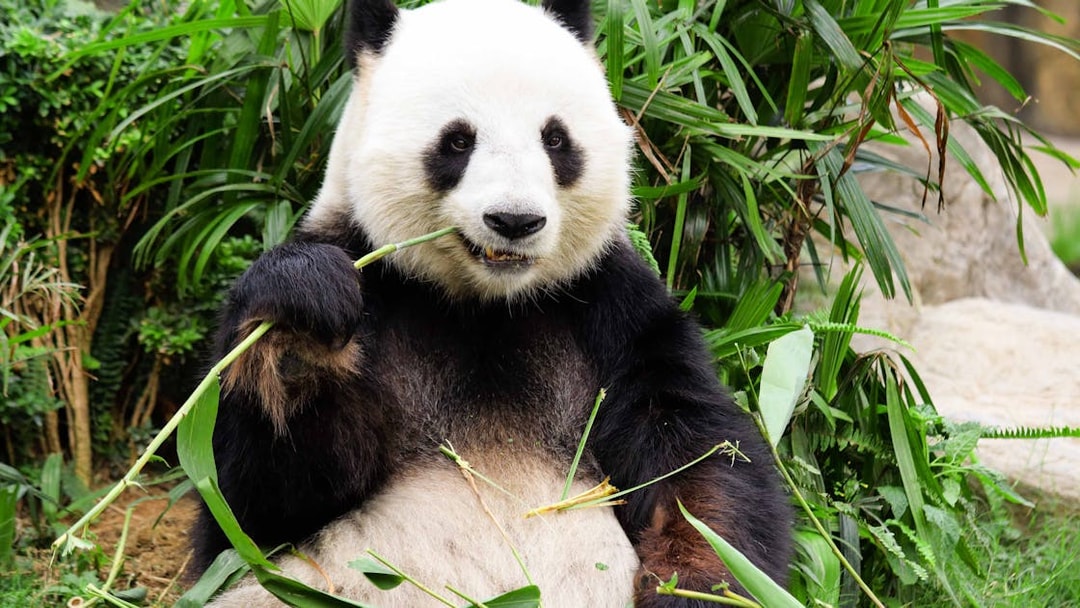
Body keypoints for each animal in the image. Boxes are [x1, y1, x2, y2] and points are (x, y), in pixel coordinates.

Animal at [189, 0, 792, 605]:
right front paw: (301, 325)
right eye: (458, 141)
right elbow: (252, 505)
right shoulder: (373, 274)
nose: (515, 220)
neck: (486, 305)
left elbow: (697, 456)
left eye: (555, 139)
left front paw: (698, 582)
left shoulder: (610, 306)